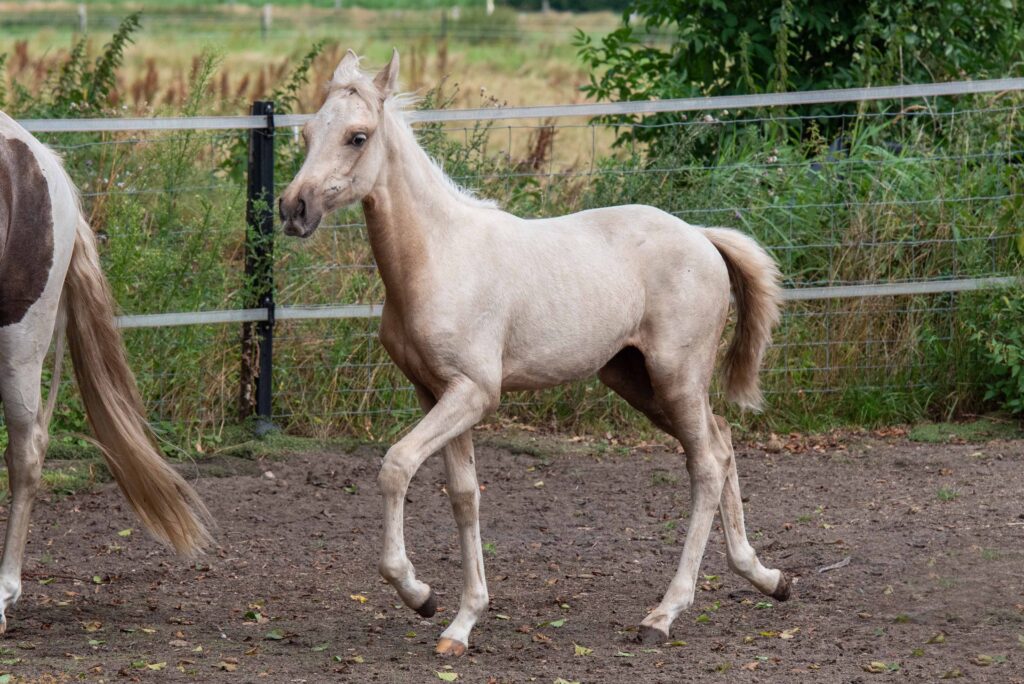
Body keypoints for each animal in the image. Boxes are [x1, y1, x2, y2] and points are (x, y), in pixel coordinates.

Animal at [280, 50, 790, 655]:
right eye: (307, 132)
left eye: (357, 136)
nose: (293, 208)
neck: (438, 257)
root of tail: (702, 236)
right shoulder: (435, 392)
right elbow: (464, 495)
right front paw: (460, 623)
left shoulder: (474, 393)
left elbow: (397, 466)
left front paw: (419, 594)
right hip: (635, 380)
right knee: (723, 440)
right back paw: (767, 577)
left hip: (676, 376)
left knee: (707, 464)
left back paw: (663, 615)